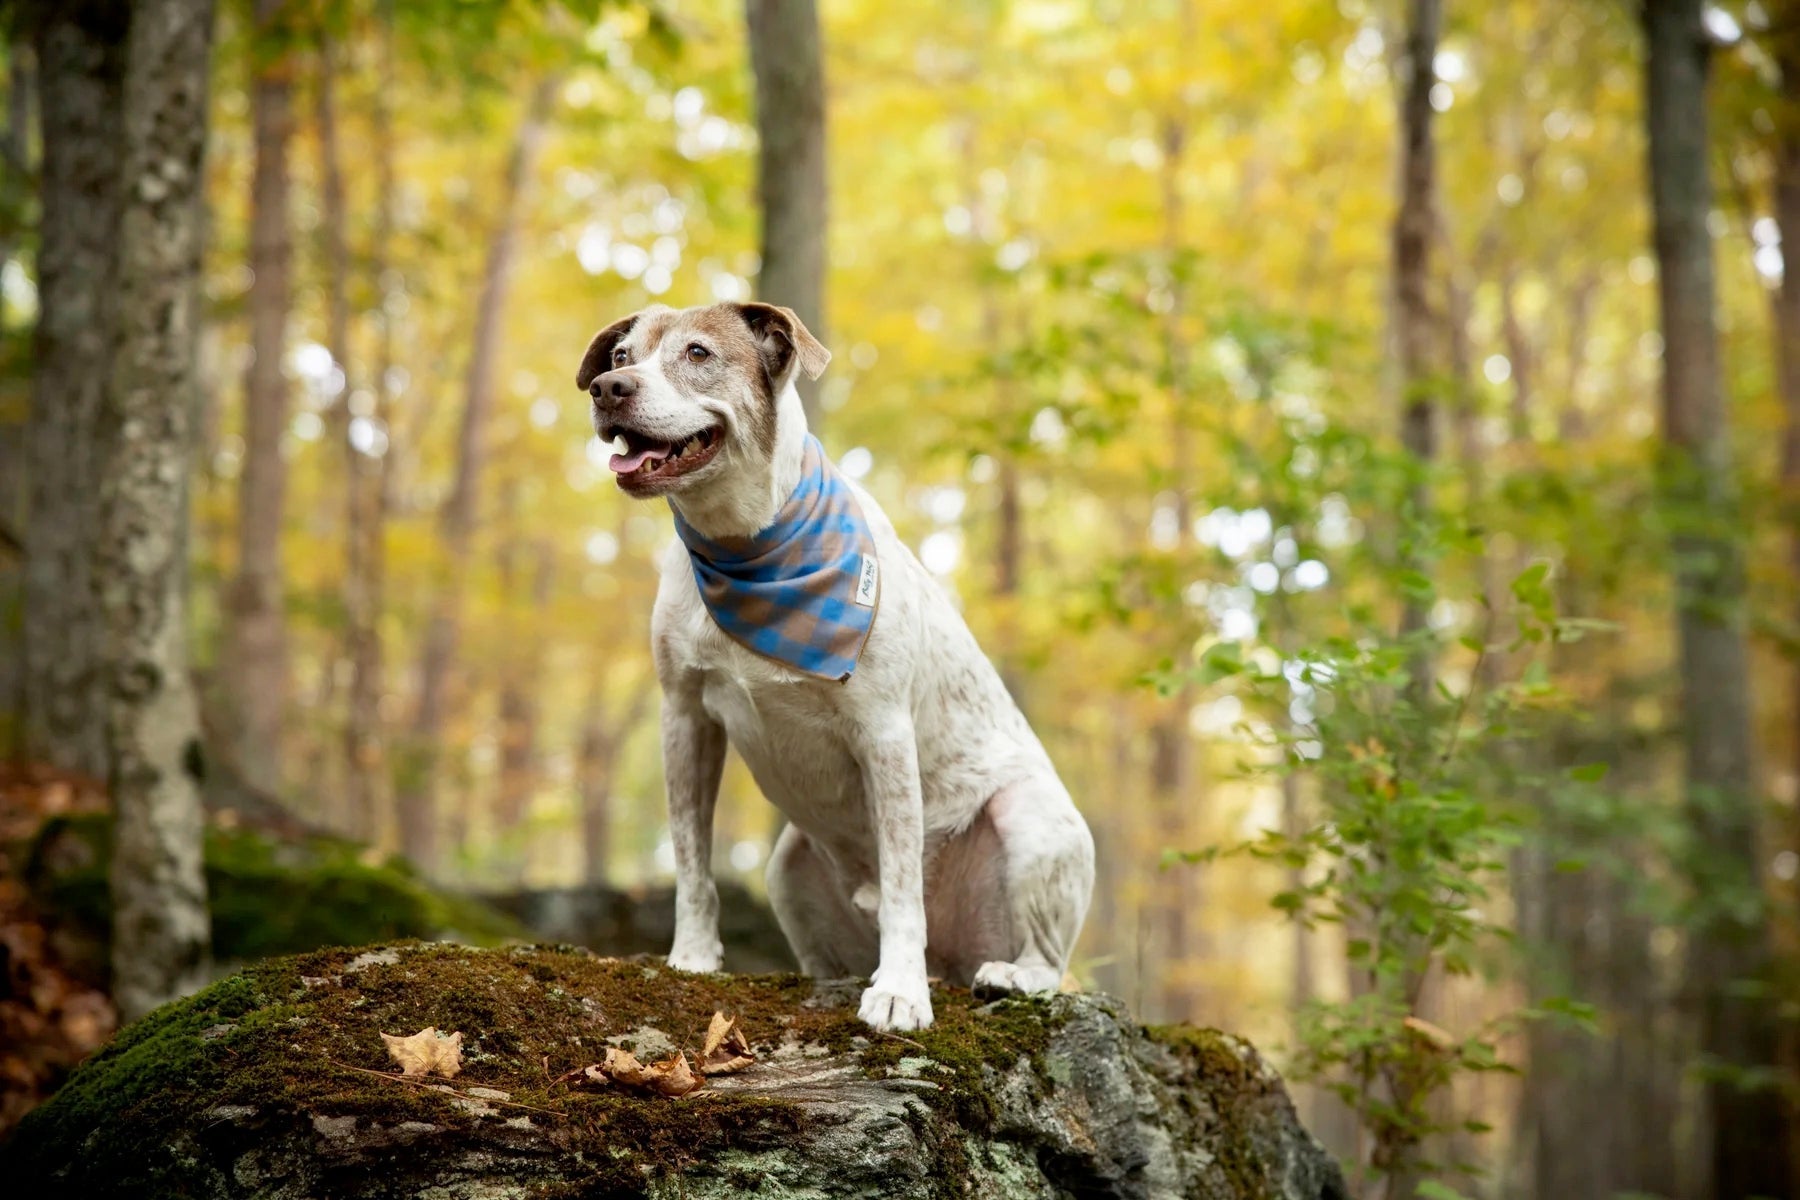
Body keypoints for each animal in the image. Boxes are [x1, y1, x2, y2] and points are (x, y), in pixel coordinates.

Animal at [576, 302, 1094, 1036]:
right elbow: (691, 860)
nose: (608, 388)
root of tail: (955, 961)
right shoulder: (684, 717)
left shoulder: (884, 734)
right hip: (786, 865)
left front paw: (901, 991)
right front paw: (694, 958)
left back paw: (1009, 974)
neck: (745, 546)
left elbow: (904, 884)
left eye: (699, 353)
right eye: (622, 356)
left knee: (1045, 958)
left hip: (1031, 820)